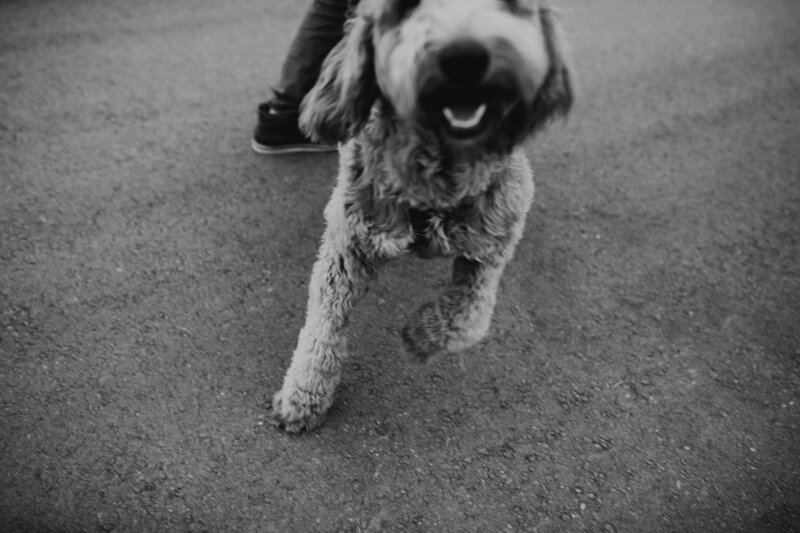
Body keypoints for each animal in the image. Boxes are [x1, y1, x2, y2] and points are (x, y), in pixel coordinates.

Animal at [272, 0, 572, 430]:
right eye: (404, 10)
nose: (464, 58)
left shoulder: (498, 232)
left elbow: (471, 317)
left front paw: (423, 335)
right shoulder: (349, 242)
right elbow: (323, 323)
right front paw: (304, 393)